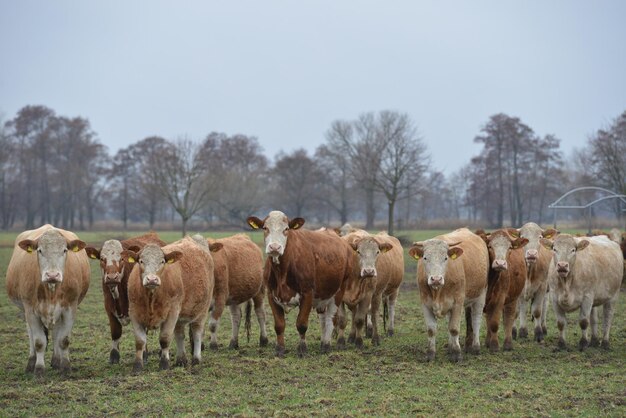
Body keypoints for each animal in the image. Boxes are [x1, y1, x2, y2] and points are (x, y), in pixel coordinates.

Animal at [5, 225, 89, 376]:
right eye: (39, 250)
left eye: (64, 250)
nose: (52, 275)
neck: (51, 291)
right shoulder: (31, 311)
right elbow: (39, 342)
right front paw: (39, 369)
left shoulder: (69, 308)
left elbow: (64, 340)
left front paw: (65, 367)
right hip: (26, 311)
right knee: (31, 336)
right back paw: (31, 363)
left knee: (56, 334)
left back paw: (56, 361)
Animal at [83, 230, 166, 364]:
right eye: (102, 258)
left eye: (121, 258)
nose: (112, 277)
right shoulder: (109, 310)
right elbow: (116, 333)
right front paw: (114, 356)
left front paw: (143, 355)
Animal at [122, 237, 214, 370]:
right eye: (141, 261)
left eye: (162, 261)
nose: (152, 279)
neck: (151, 297)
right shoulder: (134, 312)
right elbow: (140, 342)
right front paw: (137, 366)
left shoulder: (172, 312)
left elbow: (165, 338)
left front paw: (164, 364)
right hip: (180, 316)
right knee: (180, 334)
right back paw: (181, 360)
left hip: (202, 310)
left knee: (197, 332)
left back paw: (196, 359)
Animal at [245, 211, 354, 358]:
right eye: (265, 228)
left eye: (286, 229)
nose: (275, 247)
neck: (282, 272)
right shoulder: (271, 295)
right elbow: (279, 325)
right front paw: (279, 349)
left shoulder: (307, 293)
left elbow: (301, 324)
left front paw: (302, 349)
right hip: (323, 295)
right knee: (323, 318)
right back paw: (322, 342)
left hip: (339, 290)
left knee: (331, 318)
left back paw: (326, 345)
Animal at [408, 229, 490, 362]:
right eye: (425, 258)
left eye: (446, 258)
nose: (436, 279)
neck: (437, 291)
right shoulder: (425, 304)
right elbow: (431, 330)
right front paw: (430, 354)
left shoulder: (458, 303)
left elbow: (454, 328)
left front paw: (456, 354)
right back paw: (450, 347)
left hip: (481, 294)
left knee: (476, 320)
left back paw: (475, 348)